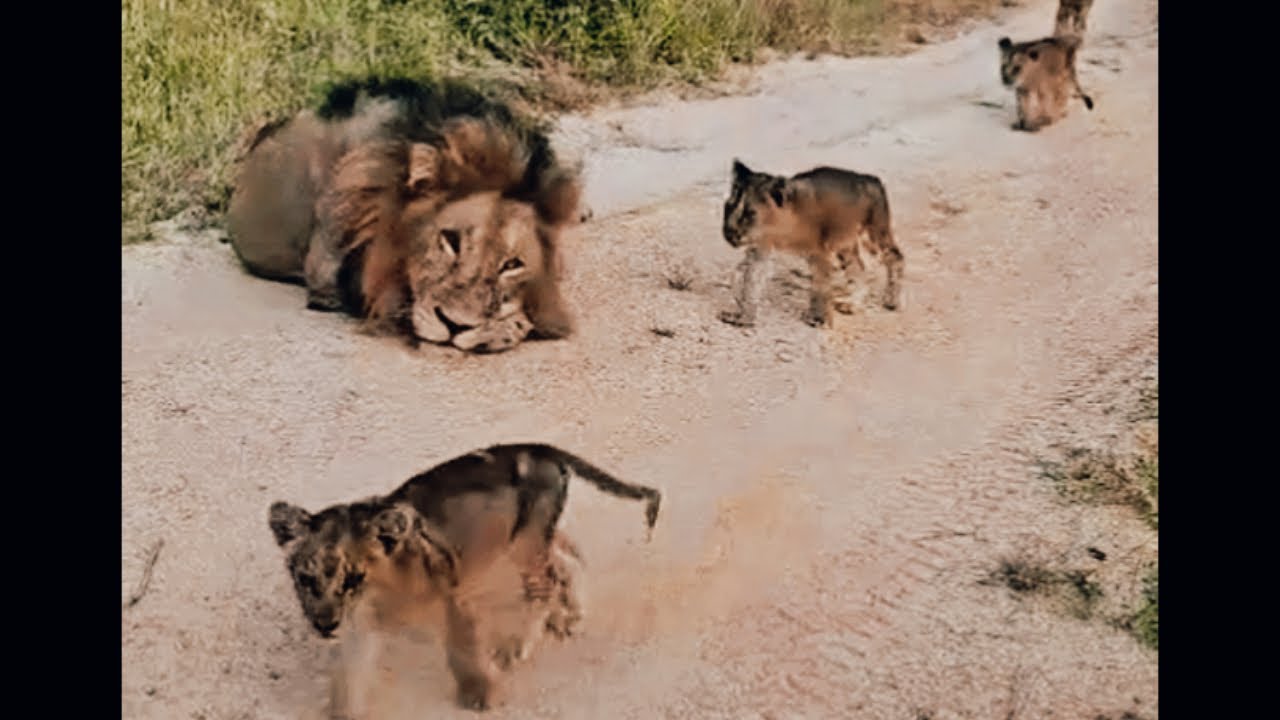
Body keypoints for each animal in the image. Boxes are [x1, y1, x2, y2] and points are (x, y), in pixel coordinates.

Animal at [267, 443, 662, 711]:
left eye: (353, 579)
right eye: (305, 579)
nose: (324, 624)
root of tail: (539, 448)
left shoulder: (450, 592)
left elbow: (461, 647)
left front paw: (478, 694)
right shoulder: (360, 629)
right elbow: (348, 678)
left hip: (525, 543)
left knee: (547, 581)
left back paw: (517, 645)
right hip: (528, 538)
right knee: (567, 559)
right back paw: (568, 617)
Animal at [718, 159, 904, 328]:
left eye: (750, 214)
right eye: (728, 207)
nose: (729, 233)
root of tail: (872, 179)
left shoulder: (820, 253)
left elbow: (819, 286)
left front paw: (817, 319)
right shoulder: (760, 251)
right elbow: (751, 283)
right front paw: (744, 318)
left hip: (873, 235)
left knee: (896, 257)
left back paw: (892, 301)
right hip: (846, 245)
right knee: (859, 267)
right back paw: (852, 303)